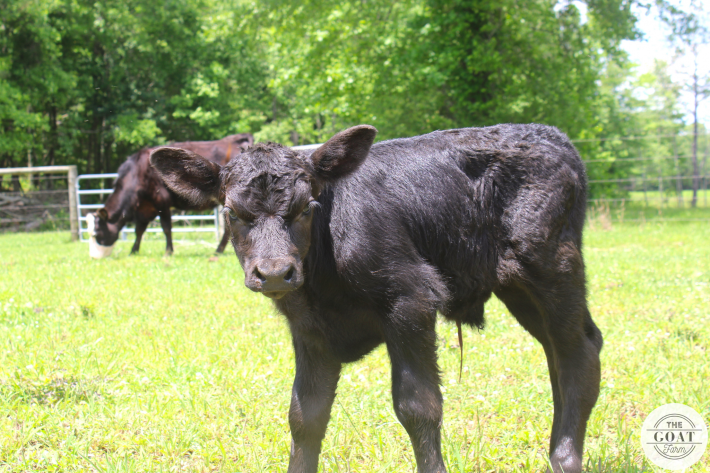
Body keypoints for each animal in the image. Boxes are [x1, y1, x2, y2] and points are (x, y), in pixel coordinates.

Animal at [92, 134, 253, 254]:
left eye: (98, 231)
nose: (96, 254)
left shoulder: (161, 202)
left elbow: (166, 228)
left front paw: (168, 251)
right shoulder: (146, 207)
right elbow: (139, 230)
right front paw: (134, 251)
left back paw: (218, 251)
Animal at [152, 123, 608, 470]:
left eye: (307, 207)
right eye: (232, 213)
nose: (276, 272)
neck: (326, 283)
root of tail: (548, 134)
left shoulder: (411, 298)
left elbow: (418, 405)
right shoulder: (310, 328)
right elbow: (305, 414)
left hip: (552, 266)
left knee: (579, 350)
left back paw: (565, 459)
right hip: (519, 288)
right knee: (557, 353)